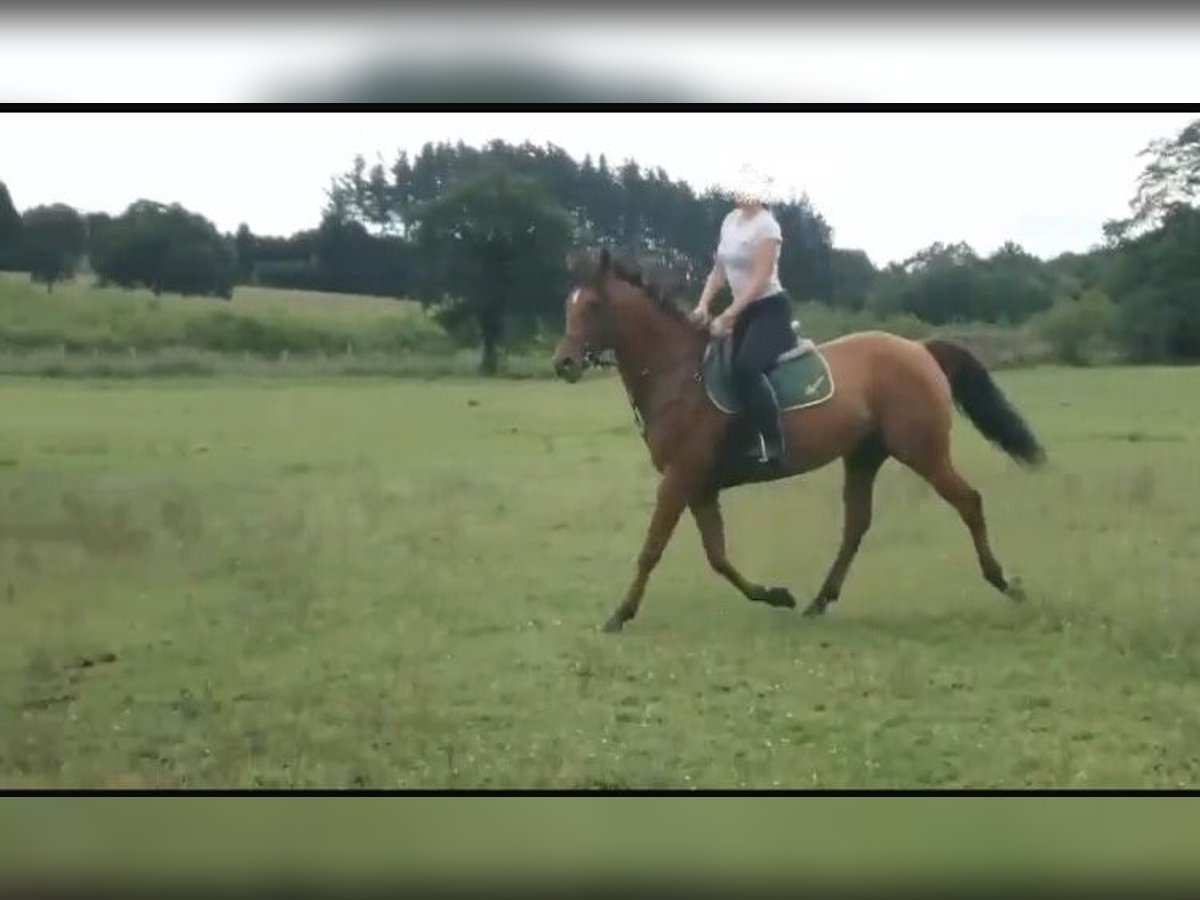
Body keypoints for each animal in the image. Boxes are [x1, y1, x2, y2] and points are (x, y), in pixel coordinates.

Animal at [549, 250, 1046, 638]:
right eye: (568, 305)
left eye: (593, 304)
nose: (564, 364)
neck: (678, 374)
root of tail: (919, 349)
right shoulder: (700, 486)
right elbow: (718, 557)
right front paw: (777, 595)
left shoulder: (679, 479)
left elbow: (652, 549)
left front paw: (619, 614)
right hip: (864, 456)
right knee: (856, 526)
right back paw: (818, 601)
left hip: (923, 452)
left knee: (968, 501)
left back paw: (1007, 584)